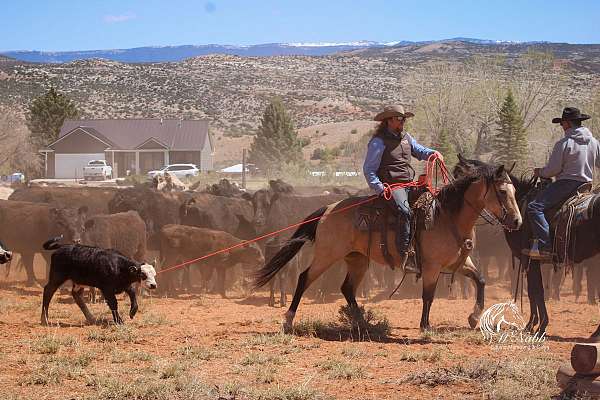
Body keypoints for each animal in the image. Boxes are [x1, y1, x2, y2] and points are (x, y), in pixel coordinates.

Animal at [253, 162, 520, 332]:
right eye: (502, 191)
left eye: (515, 190)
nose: (517, 221)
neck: (447, 217)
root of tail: (328, 209)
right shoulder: (432, 266)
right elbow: (428, 295)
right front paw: (425, 326)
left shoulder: (461, 262)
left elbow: (481, 280)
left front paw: (474, 317)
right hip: (326, 255)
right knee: (304, 278)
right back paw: (288, 320)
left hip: (357, 259)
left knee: (347, 288)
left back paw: (362, 322)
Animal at [454, 155, 600, 336]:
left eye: (458, 175)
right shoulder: (530, 261)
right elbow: (534, 291)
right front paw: (535, 324)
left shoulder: (529, 259)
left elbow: (534, 291)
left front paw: (537, 325)